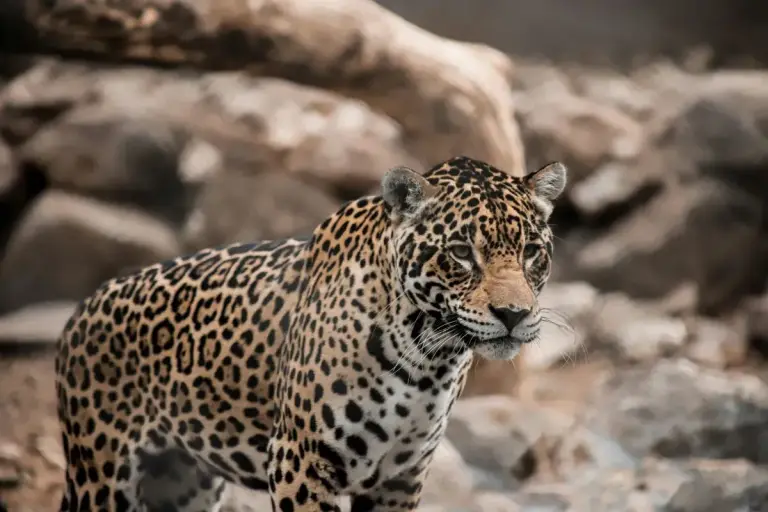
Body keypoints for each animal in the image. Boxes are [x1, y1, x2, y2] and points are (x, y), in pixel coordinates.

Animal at [55, 155, 567, 512]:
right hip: (103, 476)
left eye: (531, 251)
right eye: (461, 252)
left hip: (182, 485)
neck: (427, 356)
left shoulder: (401, 476)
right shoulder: (298, 461)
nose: (513, 314)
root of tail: (81, 311)